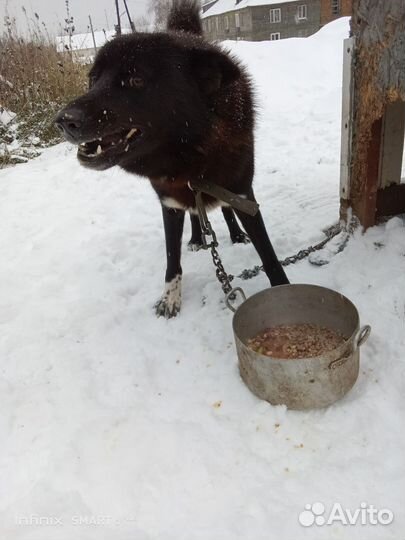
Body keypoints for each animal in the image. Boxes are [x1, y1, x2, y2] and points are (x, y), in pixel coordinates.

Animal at [55, 0, 288, 318]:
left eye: (136, 79)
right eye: (92, 79)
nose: (64, 121)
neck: (190, 155)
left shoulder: (242, 195)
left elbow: (268, 256)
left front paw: (283, 290)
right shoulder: (170, 204)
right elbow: (172, 259)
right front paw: (170, 298)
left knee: (223, 211)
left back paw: (234, 234)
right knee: (195, 215)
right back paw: (196, 239)